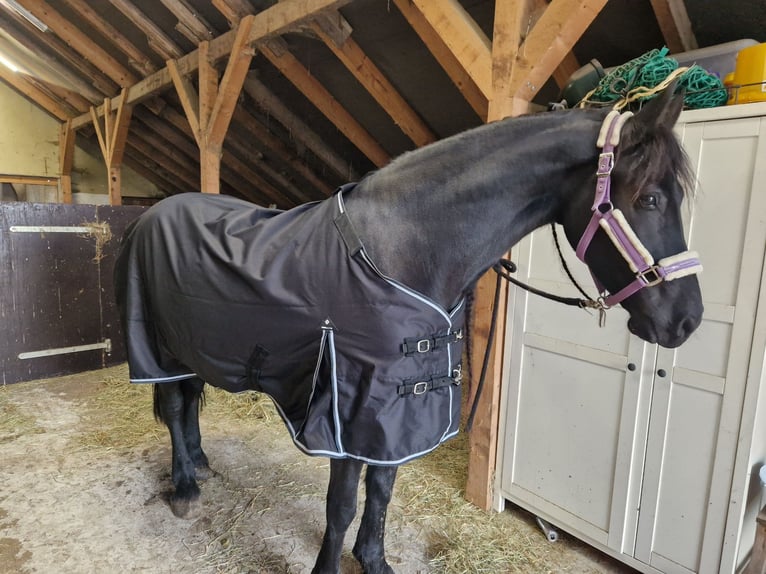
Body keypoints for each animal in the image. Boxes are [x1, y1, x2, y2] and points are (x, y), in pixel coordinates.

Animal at [114, 85, 703, 574]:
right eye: (649, 198)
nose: (687, 320)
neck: (404, 249)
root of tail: (152, 212)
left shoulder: (396, 413)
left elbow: (382, 492)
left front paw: (374, 562)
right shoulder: (350, 410)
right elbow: (342, 504)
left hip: (195, 343)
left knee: (189, 398)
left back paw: (200, 465)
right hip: (158, 347)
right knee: (174, 408)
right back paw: (185, 489)